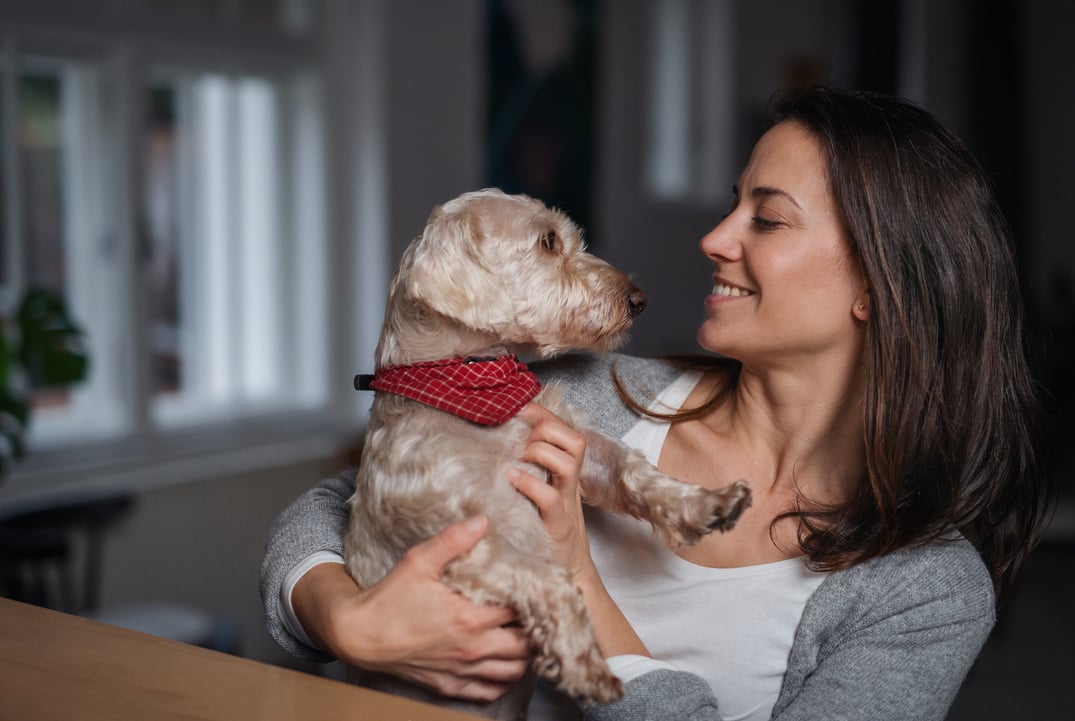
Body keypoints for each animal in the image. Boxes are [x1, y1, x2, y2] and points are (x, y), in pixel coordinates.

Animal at [341, 189, 748, 717]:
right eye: (549, 241)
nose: (639, 300)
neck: (476, 385)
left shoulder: (577, 444)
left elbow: (634, 471)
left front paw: (706, 503)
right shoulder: (461, 539)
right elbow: (553, 582)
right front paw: (587, 667)